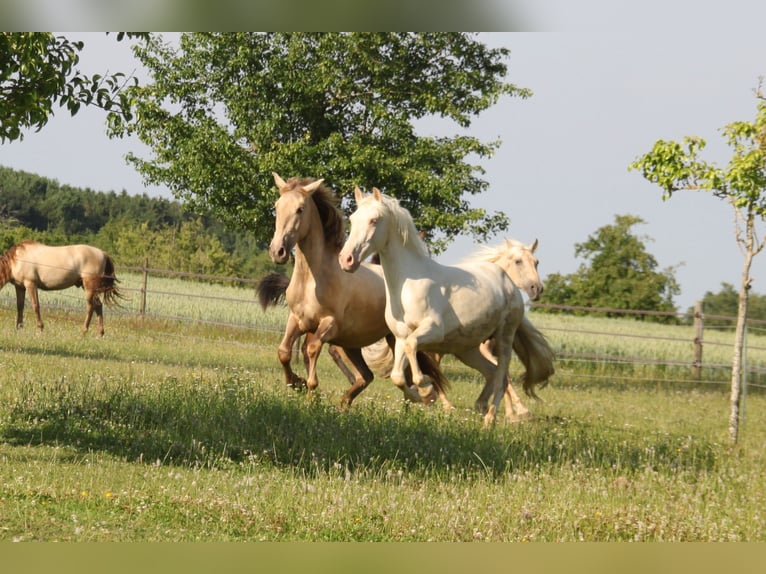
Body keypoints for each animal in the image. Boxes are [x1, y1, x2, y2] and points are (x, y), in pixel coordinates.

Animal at [266, 173, 448, 408]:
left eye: (300, 209)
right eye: (277, 206)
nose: (277, 251)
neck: (313, 282)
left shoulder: (328, 324)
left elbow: (312, 349)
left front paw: (309, 390)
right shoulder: (297, 320)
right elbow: (284, 352)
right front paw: (297, 383)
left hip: (392, 338)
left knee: (404, 375)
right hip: (351, 344)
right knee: (366, 376)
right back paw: (344, 404)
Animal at [339, 187, 554, 427]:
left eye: (374, 220)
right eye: (352, 219)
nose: (346, 260)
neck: (408, 285)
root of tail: (509, 284)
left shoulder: (432, 330)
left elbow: (414, 350)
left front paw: (426, 390)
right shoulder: (400, 337)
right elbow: (397, 375)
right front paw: (421, 396)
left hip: (504, 338)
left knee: (501, 377)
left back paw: (490, 420)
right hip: (467, 349)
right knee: (491, 372)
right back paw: (480, 406)